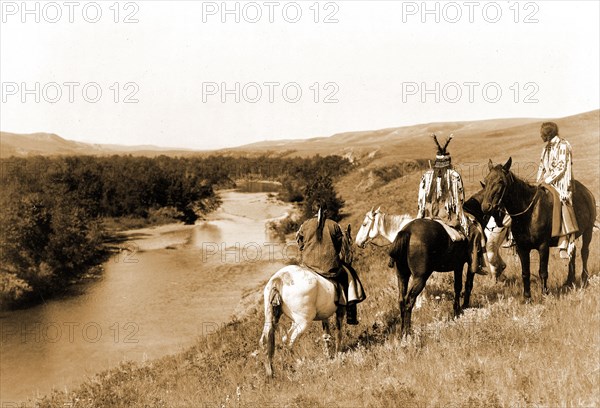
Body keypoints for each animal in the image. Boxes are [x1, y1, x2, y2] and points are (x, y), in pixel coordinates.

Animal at [258, 222, 352, 378]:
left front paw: (329, 354)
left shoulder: (324, 315)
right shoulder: (340, 310)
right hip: (303, 321)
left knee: (267, 340)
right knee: (289, 341)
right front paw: (338, 352)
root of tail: (279, 280)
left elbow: (327, 334)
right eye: (350, 242)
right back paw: (298, 363)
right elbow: (338, 331)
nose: (350, 259)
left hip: (272, 317)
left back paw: (271, 373)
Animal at [478, 157, 596, 300]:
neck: (529, 213)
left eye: (501, 181)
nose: (485, 207)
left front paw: (545, 294)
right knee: (572, 254)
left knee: (584, 252)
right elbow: (525, 272)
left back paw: (584, 278)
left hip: (588, 231)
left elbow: (543, 271)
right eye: (486, 180)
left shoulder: (543, 246)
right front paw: (527, 297)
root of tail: (587, 192)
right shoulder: (522, 248)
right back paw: (569, 281)